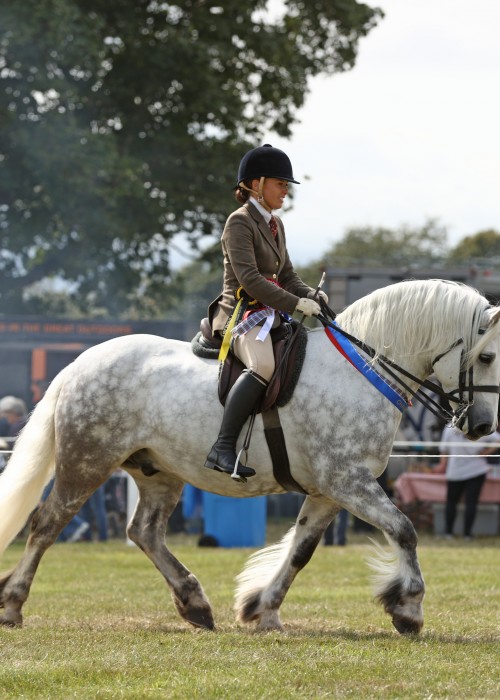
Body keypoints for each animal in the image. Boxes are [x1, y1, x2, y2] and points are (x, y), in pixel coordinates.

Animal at [1, 279, 500, 634]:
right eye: (487, 356)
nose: (482, 427)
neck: (362, 373)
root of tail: (77, 363)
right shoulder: (348, 482)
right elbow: (404, 530)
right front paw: (409, 608)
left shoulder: (329, 491)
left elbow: (301, 551)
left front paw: (263, 608)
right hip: (86, 462)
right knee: (46, 525)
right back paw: (13, 604)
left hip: (158, 472)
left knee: (144, 532)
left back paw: (195, 604)